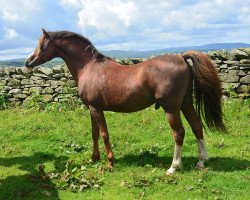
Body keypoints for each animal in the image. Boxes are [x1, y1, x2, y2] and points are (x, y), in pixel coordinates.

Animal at [25, 29, 227, 175]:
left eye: (42, 43)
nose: (28, 62)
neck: (89, 67)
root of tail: (180, 57)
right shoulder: (91, 109)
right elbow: (94, 133)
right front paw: (94, 158)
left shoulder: (96, 109)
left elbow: (104, 134)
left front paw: (110, 162)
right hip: (185, 104)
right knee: (197, 126)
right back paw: (201, 161)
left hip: (171, 108)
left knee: (179, 133)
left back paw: (173, 167)